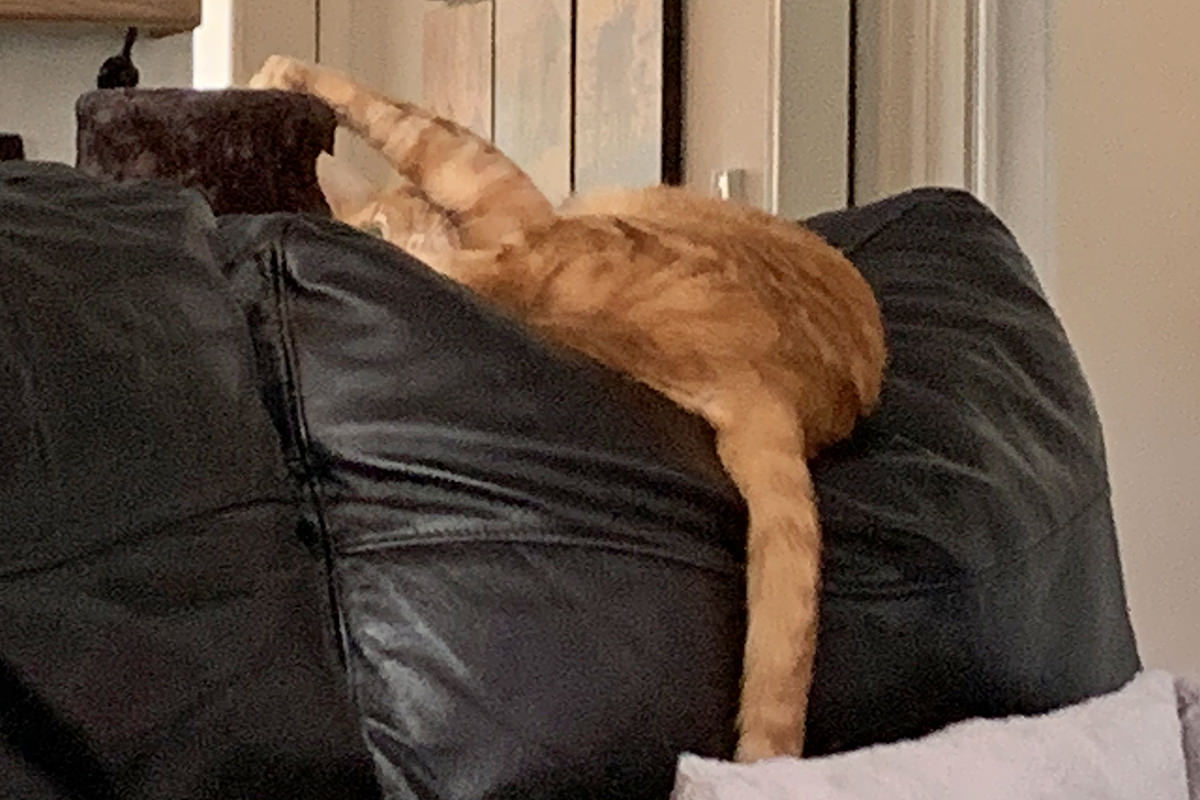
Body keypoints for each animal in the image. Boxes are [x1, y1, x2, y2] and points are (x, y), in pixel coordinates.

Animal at [248, 56, 888, 762]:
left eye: (376, 229)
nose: (400, 250)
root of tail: (764, 382)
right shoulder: (492, 190)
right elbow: (398, 118)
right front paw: (276, 72)